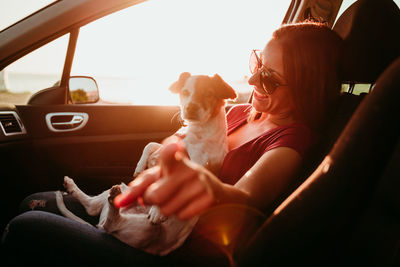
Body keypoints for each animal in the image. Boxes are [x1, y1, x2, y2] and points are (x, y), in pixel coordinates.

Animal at [54, 72, 236, 256]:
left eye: (209, 94)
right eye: (185, 92)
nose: (190, 107)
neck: (195, 133)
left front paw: (158, 210)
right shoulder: (163, 148)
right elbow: (149, 144)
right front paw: (140, 166)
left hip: (148, 228)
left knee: (112, 223)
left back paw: (115, 202)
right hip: (125, 191)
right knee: (92, 207)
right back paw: (75, 186)